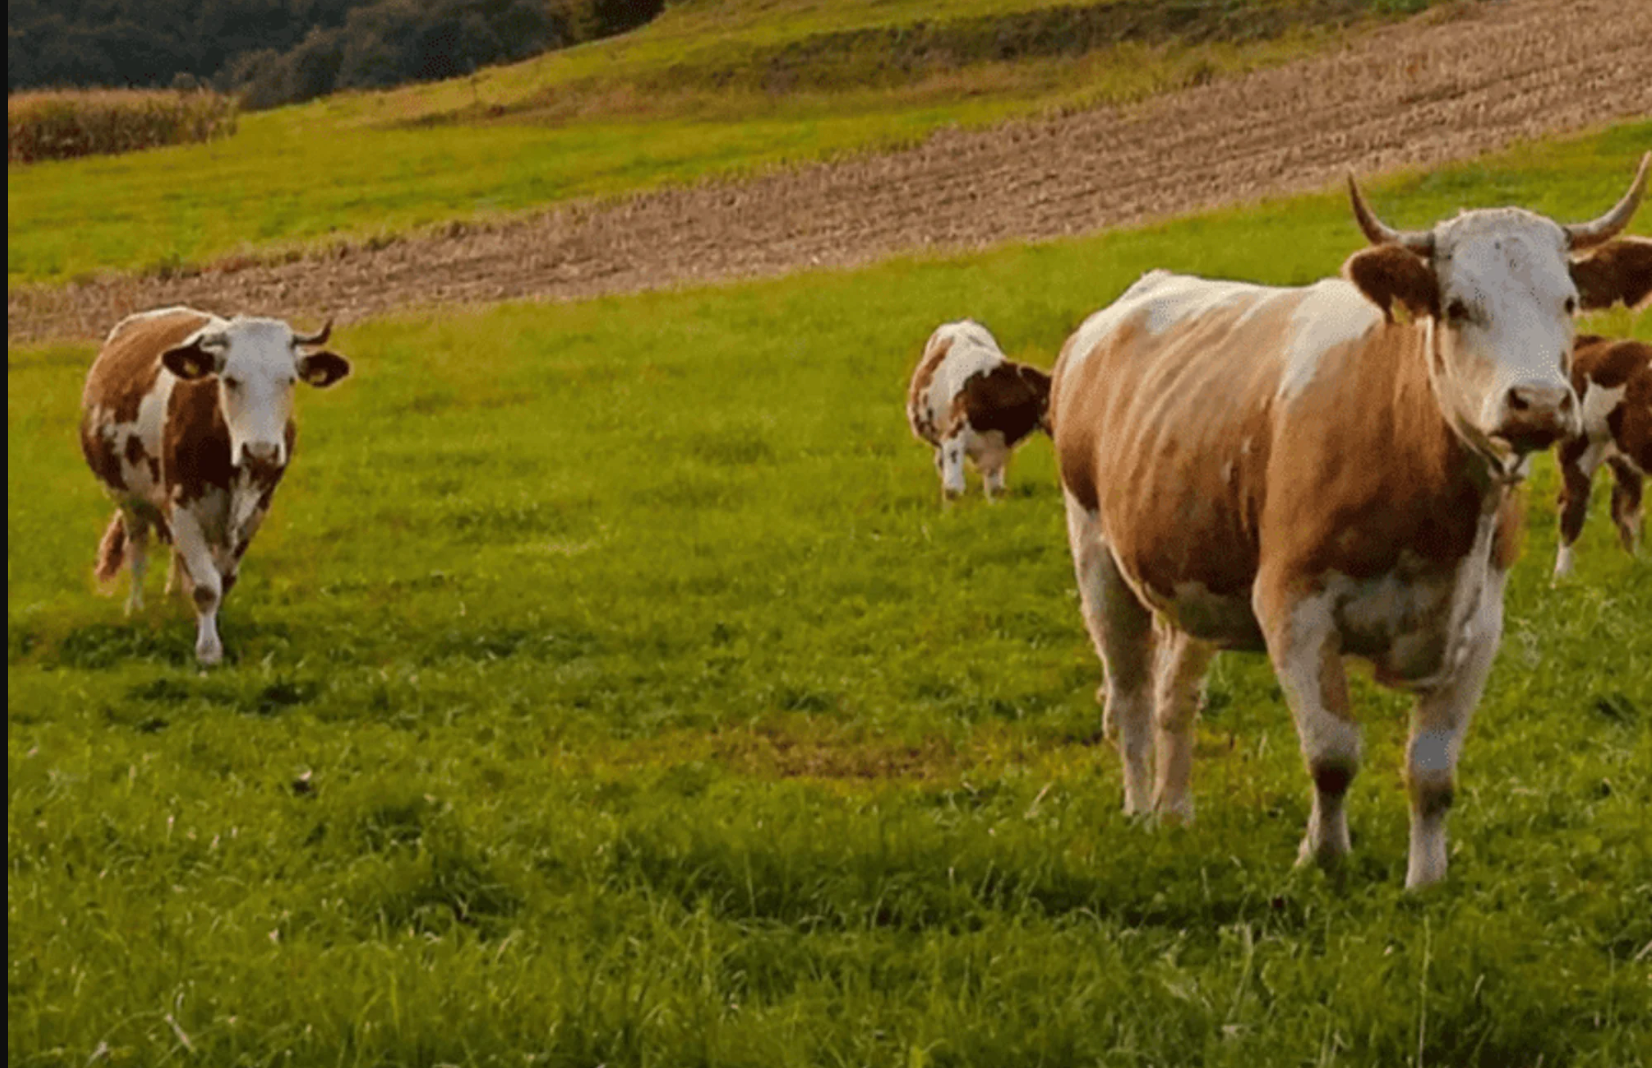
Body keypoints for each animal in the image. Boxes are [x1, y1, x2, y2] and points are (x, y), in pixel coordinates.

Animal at [80, 306, 351, 665]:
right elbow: (207, 586)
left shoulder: (256, 511)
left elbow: (223, 579)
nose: (261, 450)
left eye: (289, 379)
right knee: (138, 551)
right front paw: (208, 650)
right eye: (230, 379)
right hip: (129, 502)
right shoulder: (180, 506)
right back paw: (135, 609)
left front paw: (210, 626)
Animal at [1554, 335, 1652, 579]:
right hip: (1579, 448)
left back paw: (1641, 564)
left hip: (1625, 458)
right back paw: (1562, 579)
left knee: (1625, 509)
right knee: (1571, 509)